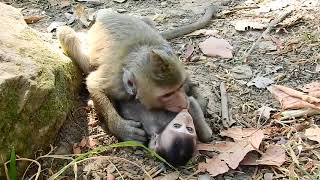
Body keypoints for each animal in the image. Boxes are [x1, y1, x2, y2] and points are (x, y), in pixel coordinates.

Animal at [56, 3, 219, 142]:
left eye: (178, 87)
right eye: (167, 95)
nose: (183, 102)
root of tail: (105, 15)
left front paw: (195, 97)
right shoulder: (117, 84)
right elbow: (94, 84)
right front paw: (121, 129)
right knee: (66, 33)